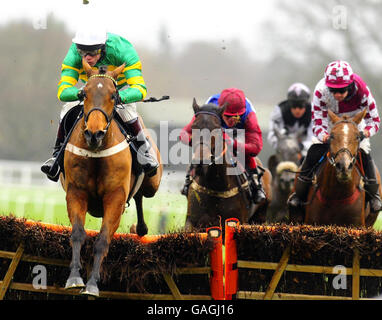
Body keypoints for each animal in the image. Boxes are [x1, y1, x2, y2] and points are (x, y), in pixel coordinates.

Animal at [60, 58, 162, 296]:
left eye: (113, 96)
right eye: (84, 94)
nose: (94, 134)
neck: (97, 151)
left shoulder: (115, 197)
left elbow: (103, 239)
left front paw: (92, 284)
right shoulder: (76, 192)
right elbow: (77, 233)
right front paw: (75, 278)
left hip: (153, 183)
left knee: (141, 194)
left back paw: (140, 228)